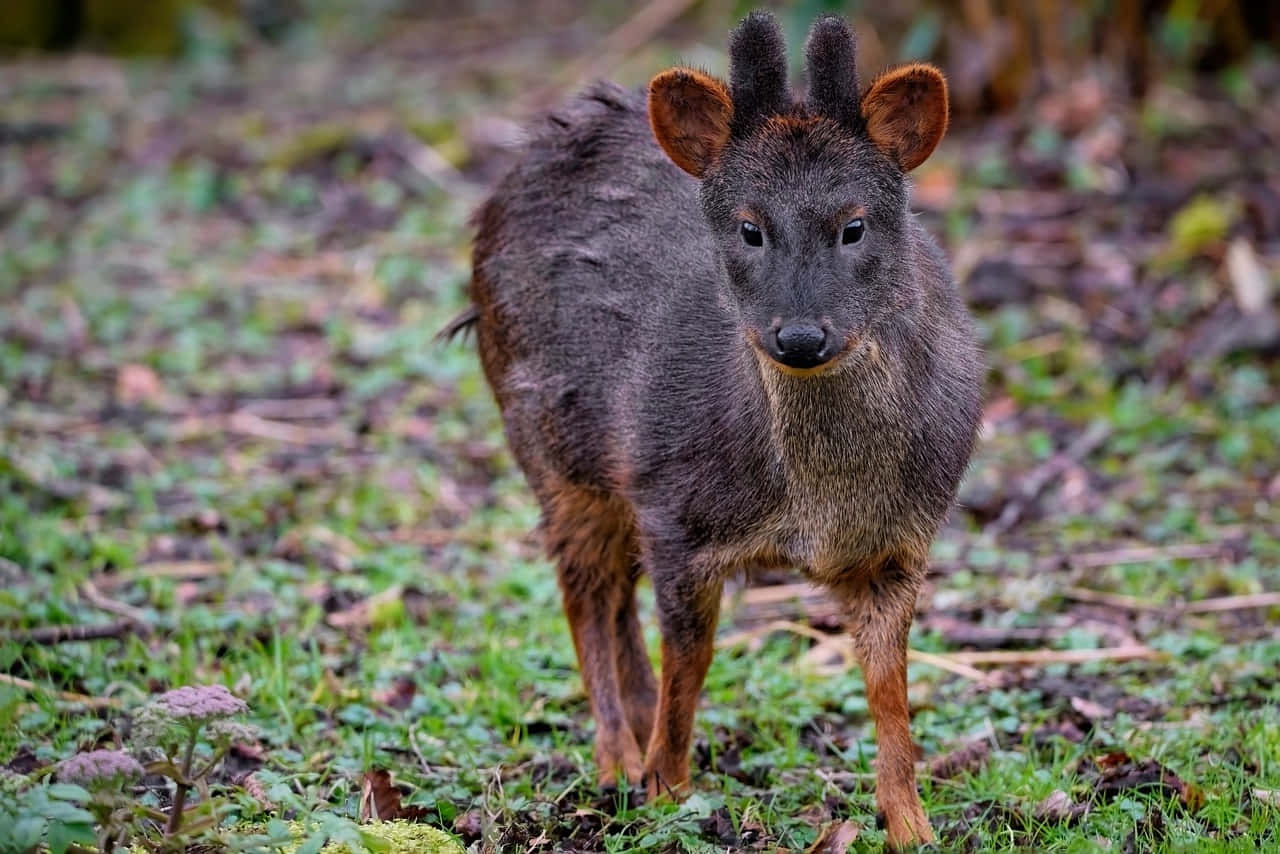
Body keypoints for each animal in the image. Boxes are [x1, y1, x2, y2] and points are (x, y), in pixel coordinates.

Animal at [465, 11, 983, 850]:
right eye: (748, 228)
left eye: (854, 225)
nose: (800, 336)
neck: (818, 504)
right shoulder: (676, 508)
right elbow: (693, 658)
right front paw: (667, 788)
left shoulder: (899, 545)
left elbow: (889, 686)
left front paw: (911, 823)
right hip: (552, 444)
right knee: (586, 593)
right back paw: (617, 760)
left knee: (613, 595)